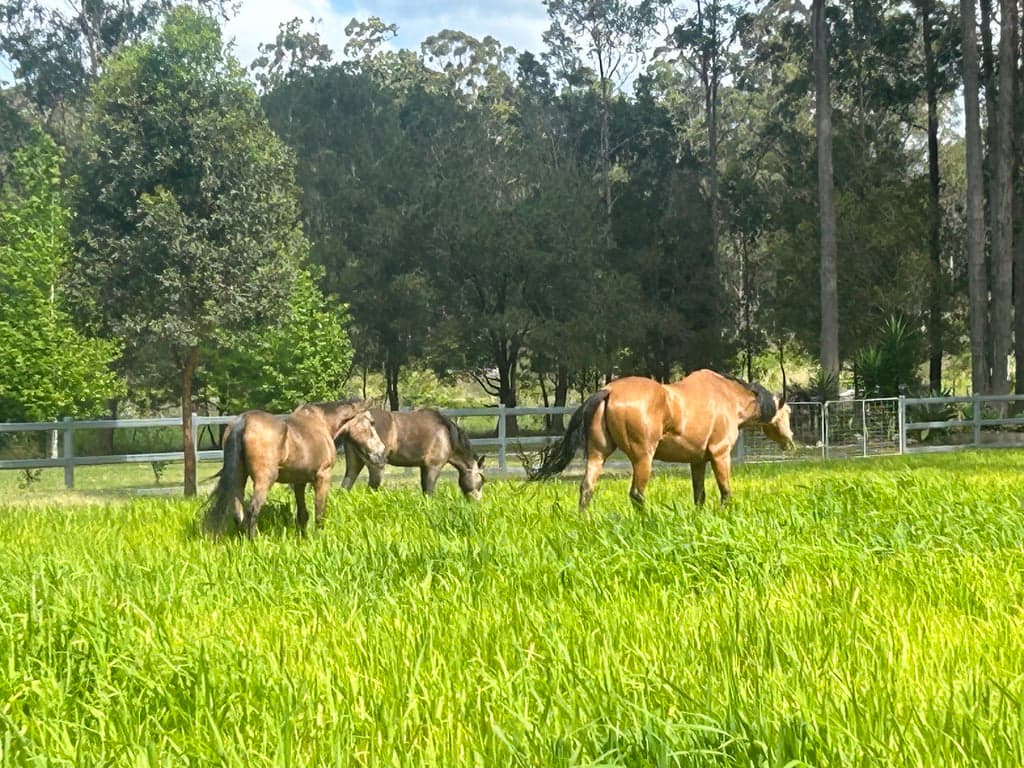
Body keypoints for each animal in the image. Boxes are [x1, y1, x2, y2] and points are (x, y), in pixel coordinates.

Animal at [203, 399, 388, 537]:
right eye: (371, 423)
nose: (381, 453)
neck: (321, 424)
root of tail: (243, 422)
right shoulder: (322, 477)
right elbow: (320, 513)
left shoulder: (299, 482)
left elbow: (303, 514)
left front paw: (304, 538)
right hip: (264, 480)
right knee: (252, 511)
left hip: (239, 478)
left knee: (238, 513)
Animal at [340, 407, 486, 499]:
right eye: (482, 481)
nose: (477, 502)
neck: (447, 435)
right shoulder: (434, 467)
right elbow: (429, 492)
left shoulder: (423, 467)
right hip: (376, 467)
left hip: (354, 464)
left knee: (345, 486)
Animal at [529, 369, 794, 512]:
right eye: (788, 412)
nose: (790, 442)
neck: (728, 398)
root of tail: (608, 390)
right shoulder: (720, 455)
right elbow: (725, 492)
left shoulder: (697, 461)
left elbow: (699, 495)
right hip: (643, 458)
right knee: (637, 494)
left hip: (597, 454)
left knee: (586, 488)